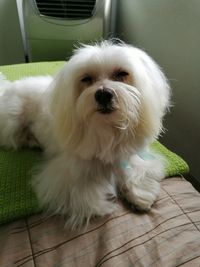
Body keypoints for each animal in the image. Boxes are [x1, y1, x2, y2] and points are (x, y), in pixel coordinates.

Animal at [0, 40, 170, 229]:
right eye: (86, 79)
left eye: (121, 74)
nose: (103, 94)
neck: (105, 129)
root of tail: (7, 88)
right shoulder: (66, 174)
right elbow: (84, 192)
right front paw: (103, 205)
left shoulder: (130, 157)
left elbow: (135, 171)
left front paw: (139, 196)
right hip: (13, 121)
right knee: (16, 138)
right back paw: (32, 140)